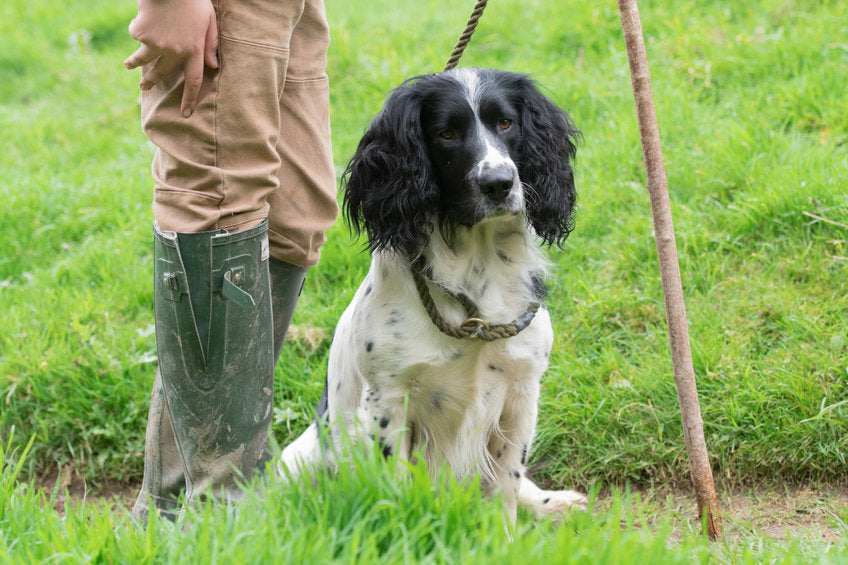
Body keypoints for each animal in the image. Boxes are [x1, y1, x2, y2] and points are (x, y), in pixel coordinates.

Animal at [282, 68, 588, 524]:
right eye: (447, 133)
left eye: (505, 123)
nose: (499, 183)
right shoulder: (388, 400)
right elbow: (397, 488)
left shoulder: (521, 391)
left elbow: (506, 487)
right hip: (300, 459)